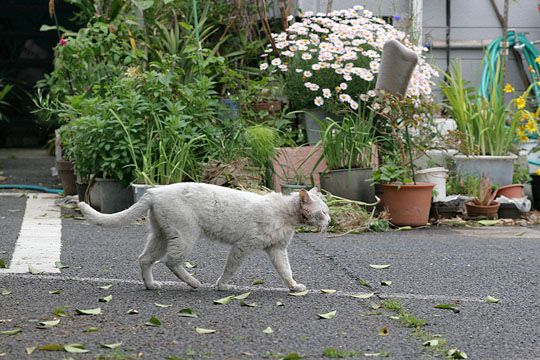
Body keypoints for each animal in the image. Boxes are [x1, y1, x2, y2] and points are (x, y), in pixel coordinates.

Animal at [77, 183, 330, 292]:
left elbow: (286, 271)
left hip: (161, 235)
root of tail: (153, 191)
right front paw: (222, 286)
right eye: (323, 212)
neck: (285, 214)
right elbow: (230, 269)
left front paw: (294, 287)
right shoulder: (242, 247)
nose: (330, 221)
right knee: (170, 262)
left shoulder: (277, 249)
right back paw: (194, 283)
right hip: (185, 236)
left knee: (145, 259)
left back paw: (151, 285)